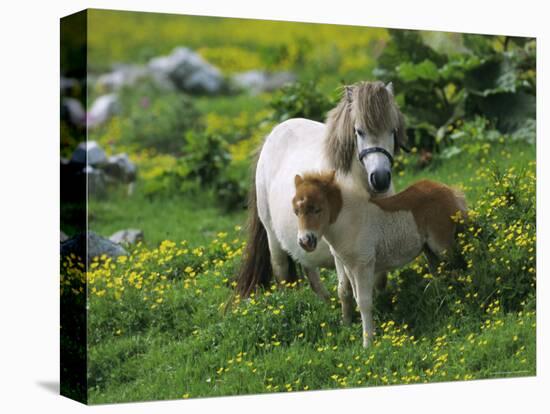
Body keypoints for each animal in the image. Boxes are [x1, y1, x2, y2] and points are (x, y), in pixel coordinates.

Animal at [237, 81, 410, 300]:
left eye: (392, 130)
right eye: (359, 131)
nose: (380, 179)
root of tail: (271, 135)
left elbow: (379, 280)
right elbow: (346, 288)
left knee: (309, 268)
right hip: (272, 236)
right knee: (281, 270)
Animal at [296, 171, 468, 346]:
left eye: (317, 209)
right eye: (296, 211)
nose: (305, 241)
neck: (349, 222)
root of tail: (448, 190)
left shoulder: (363, 265)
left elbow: (364, 303)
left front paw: (368, 344)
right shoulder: (349, 268)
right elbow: (355, 298)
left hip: (442, 245)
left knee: (458, 266)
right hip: (429, 249)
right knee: (439, 272)